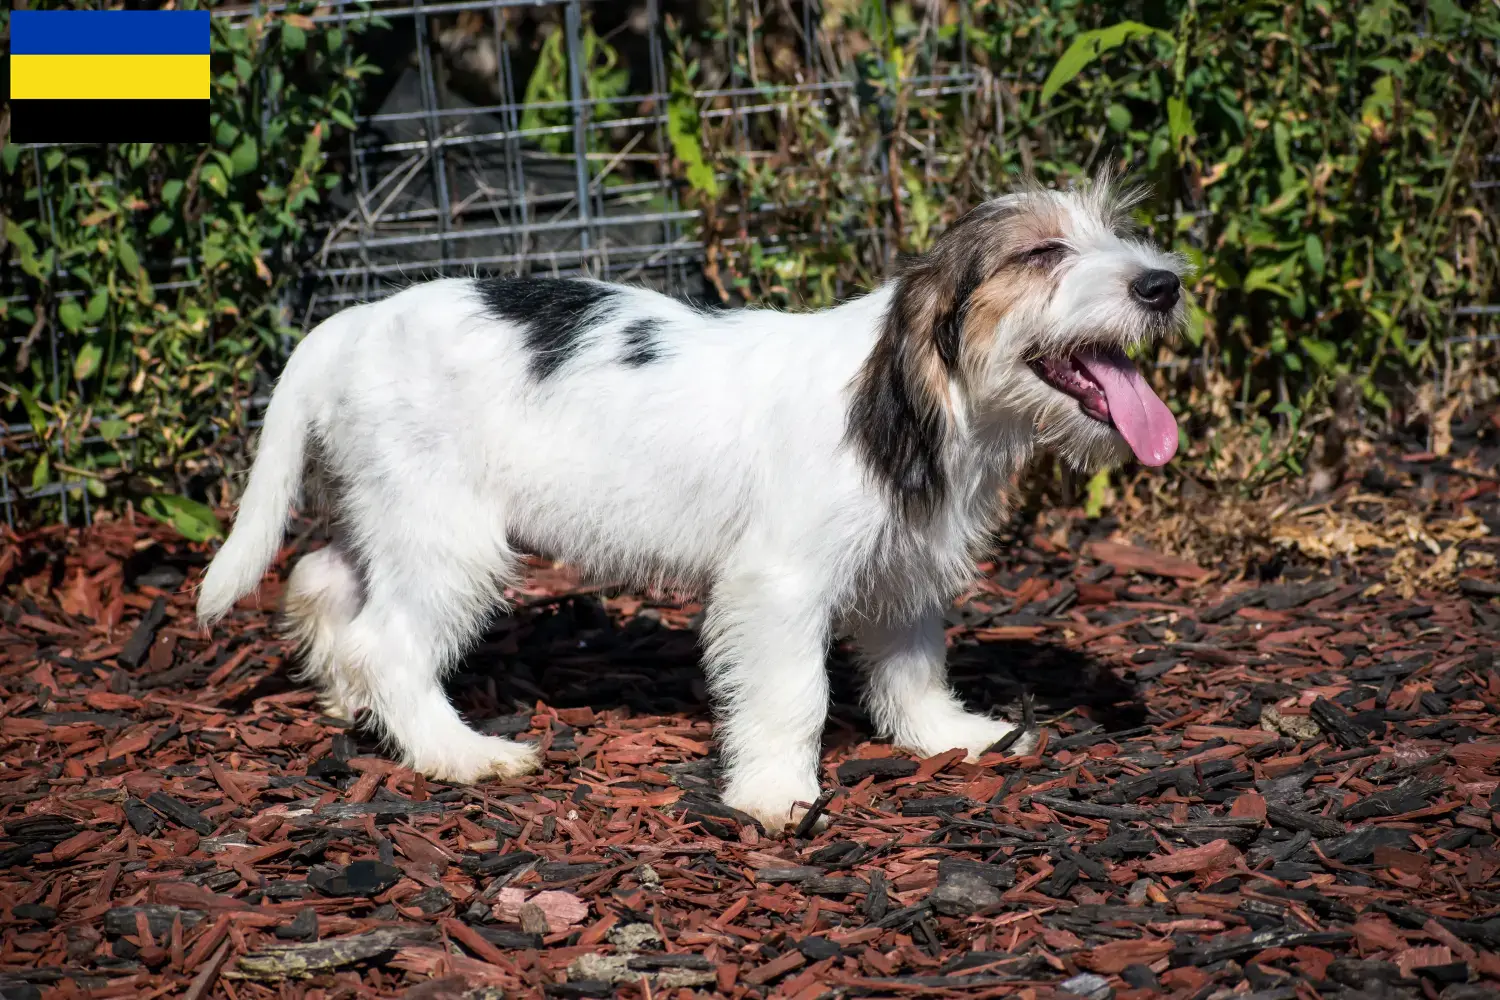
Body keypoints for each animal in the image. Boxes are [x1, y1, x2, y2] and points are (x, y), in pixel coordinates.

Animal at [196, 173, 1182, 839]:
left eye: (1114, 235)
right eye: (1043, 254)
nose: (1163, 284)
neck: (918, 393)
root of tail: (353, 321)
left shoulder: (902, 572)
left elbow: (911, 667)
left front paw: (948, 737)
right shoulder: (779, 585)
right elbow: (796, 692)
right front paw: (776, 795)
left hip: (395, 516)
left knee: (323, 577)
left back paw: (347, 703)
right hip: (450, 538)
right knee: (387, 641)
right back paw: (458, 753)